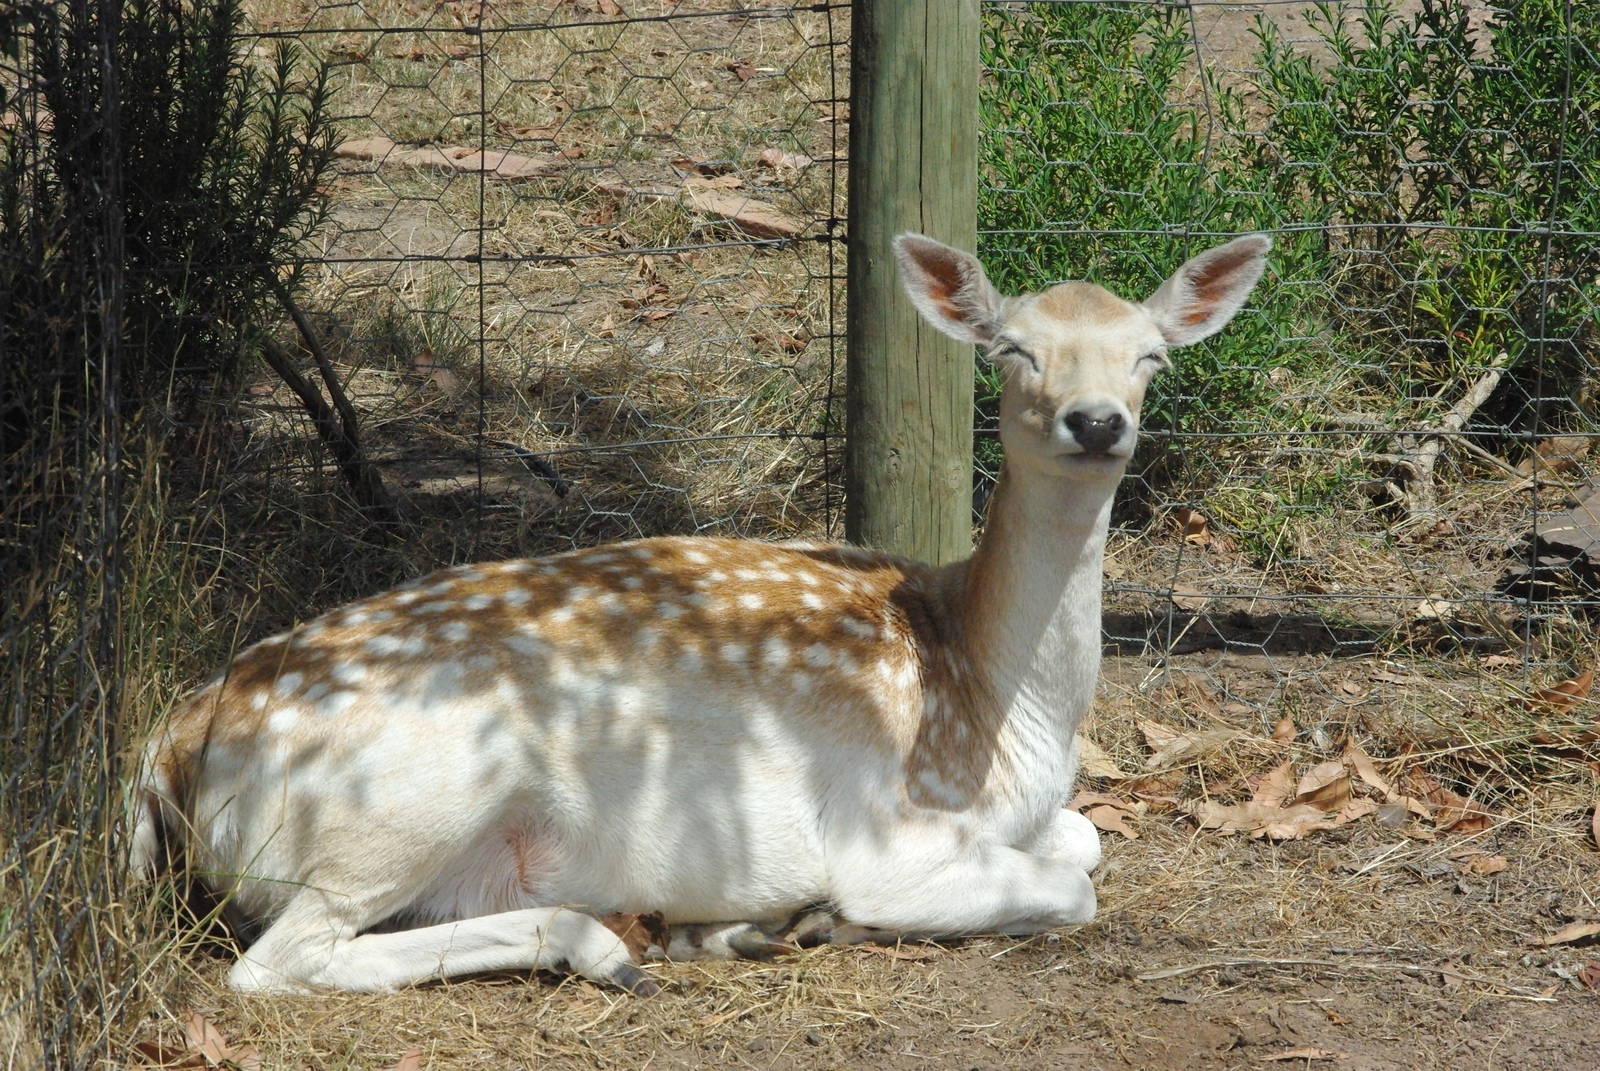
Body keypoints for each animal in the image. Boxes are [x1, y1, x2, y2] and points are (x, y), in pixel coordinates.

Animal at [130, 231, 1269, 996]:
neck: (1001, 702)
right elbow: (1073, 886)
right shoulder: (885, 840)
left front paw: (782, 923)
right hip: (397, 806)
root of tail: (170, 746)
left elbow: (1082, 838)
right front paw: (826, 916)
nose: (1097, 421)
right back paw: (626, 944)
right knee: (274, 964)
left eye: (1151, 355)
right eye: (1015, 351)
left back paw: (685, 933)